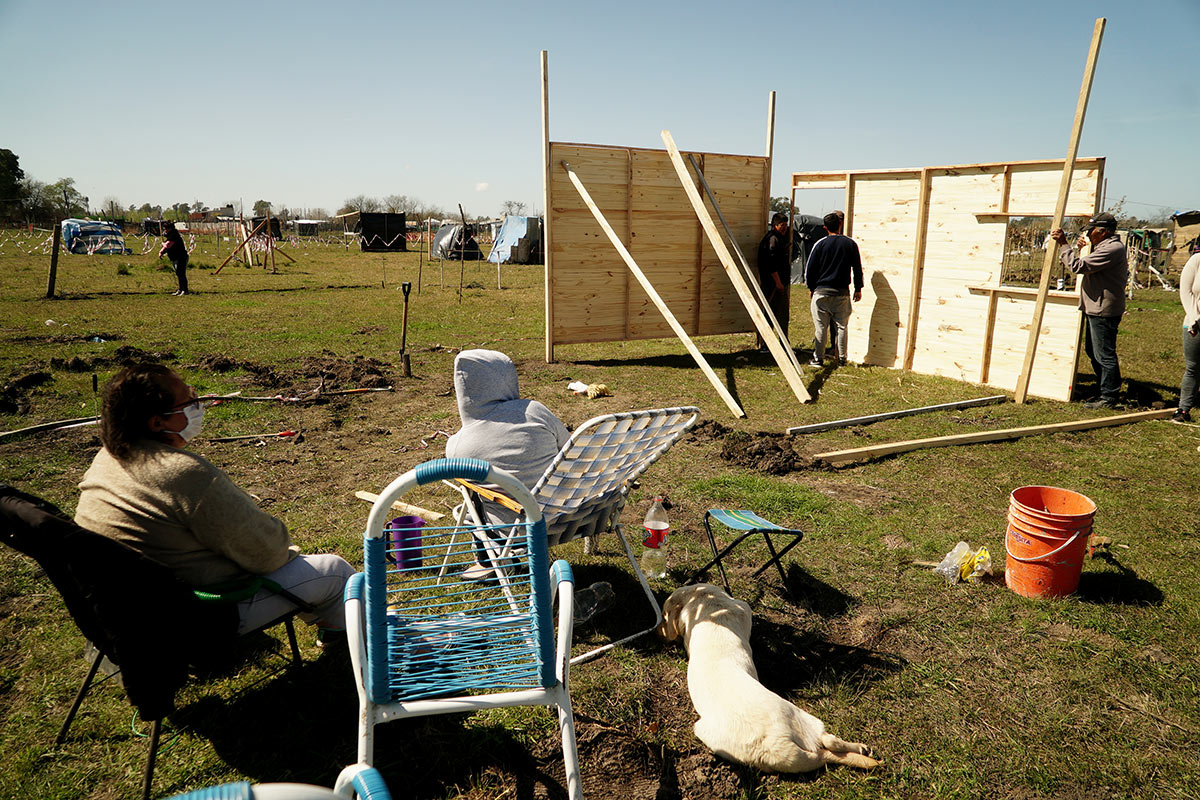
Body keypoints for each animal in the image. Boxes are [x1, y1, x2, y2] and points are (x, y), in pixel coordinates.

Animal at [657, 585, 883, 772]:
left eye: (663, 615)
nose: (657, 635)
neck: (703, 600)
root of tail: (781, 744)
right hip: (802, 721)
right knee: (830, 742)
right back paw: (862, 749)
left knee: (828, 747)